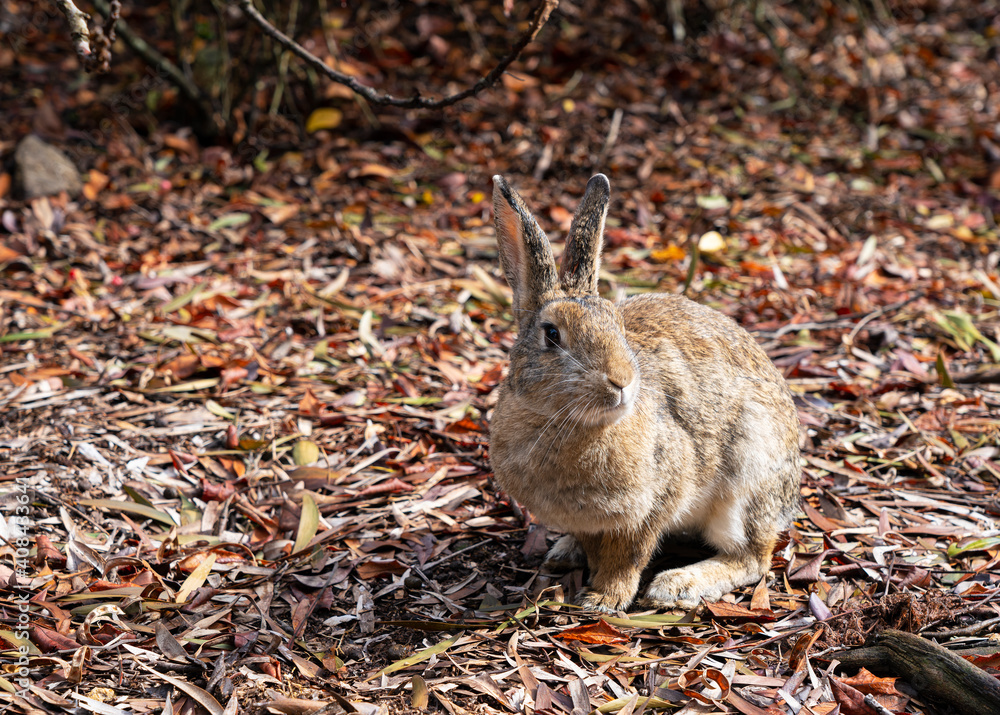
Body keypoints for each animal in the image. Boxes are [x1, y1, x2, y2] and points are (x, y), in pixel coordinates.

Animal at [488, 175, 800, 616]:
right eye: (551, 335)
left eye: (618, 326)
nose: (622, 380)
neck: (564, 423)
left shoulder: (655, 501)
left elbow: (629, 555)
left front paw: (604, 599)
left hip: (748, 476)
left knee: (753, 558)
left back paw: (678, 584)